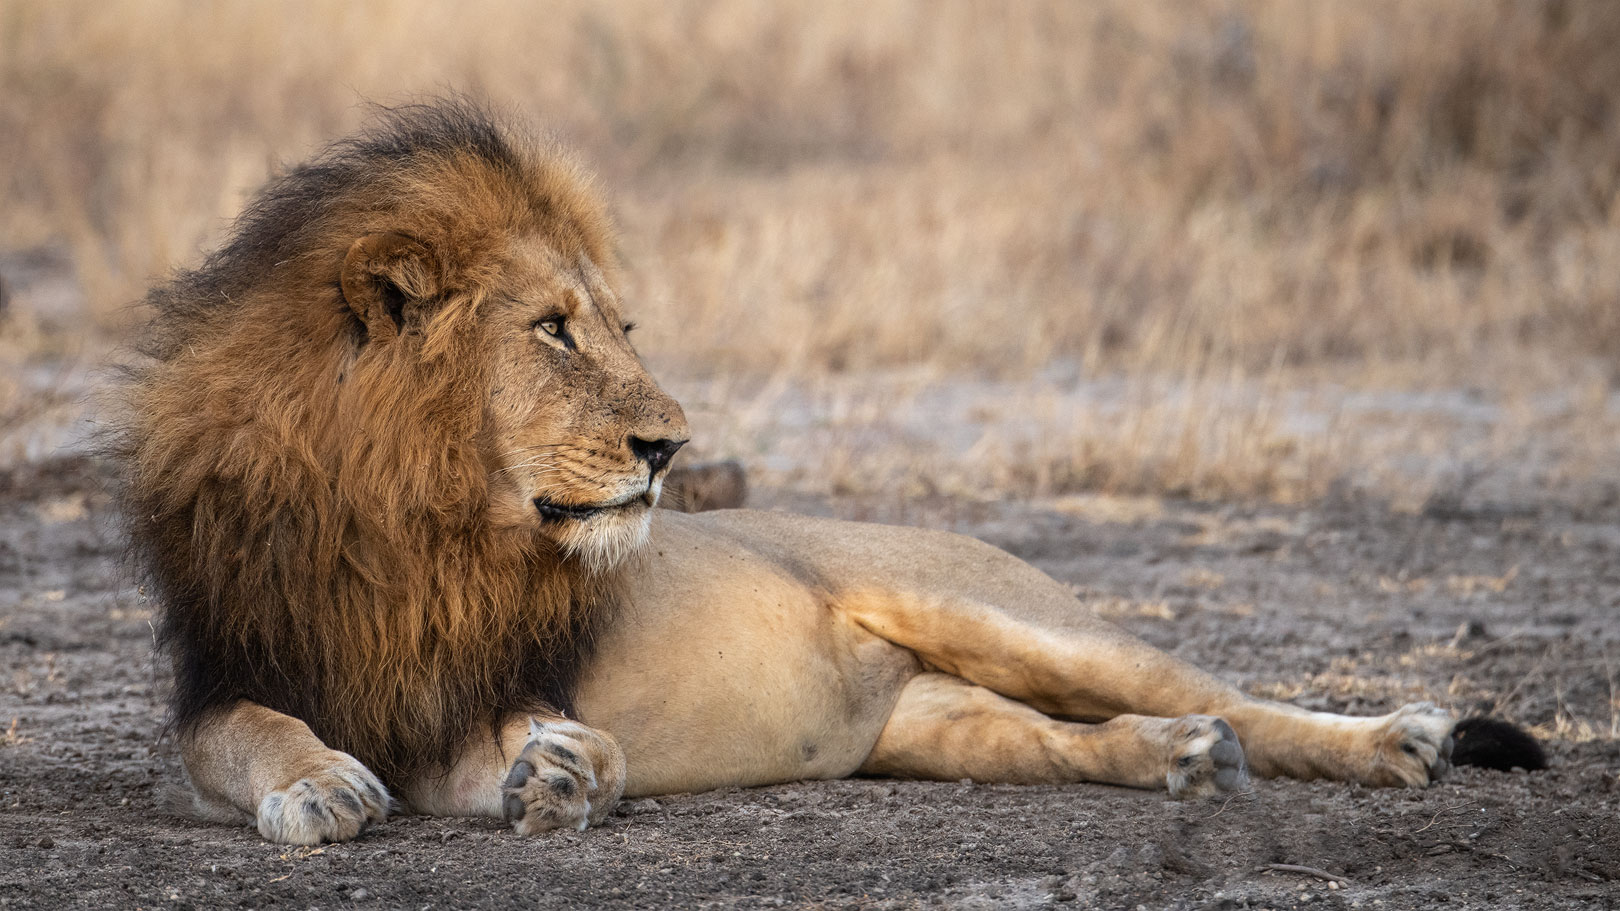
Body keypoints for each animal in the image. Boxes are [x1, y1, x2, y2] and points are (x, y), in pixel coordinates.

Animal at [117, 99, 1529, 842]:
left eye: (618, 323)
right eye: (553, 328)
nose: (672, 446)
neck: (412, 517)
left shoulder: (503, 673)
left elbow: (542, 742)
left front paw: (560, 771)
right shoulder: (228, 668)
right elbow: (248, 738)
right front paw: (318, 782)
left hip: (1016, 616)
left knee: (1230, 690)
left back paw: (1395, 739)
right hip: (941, 725)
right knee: (1081, 735)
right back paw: (1181, 759)